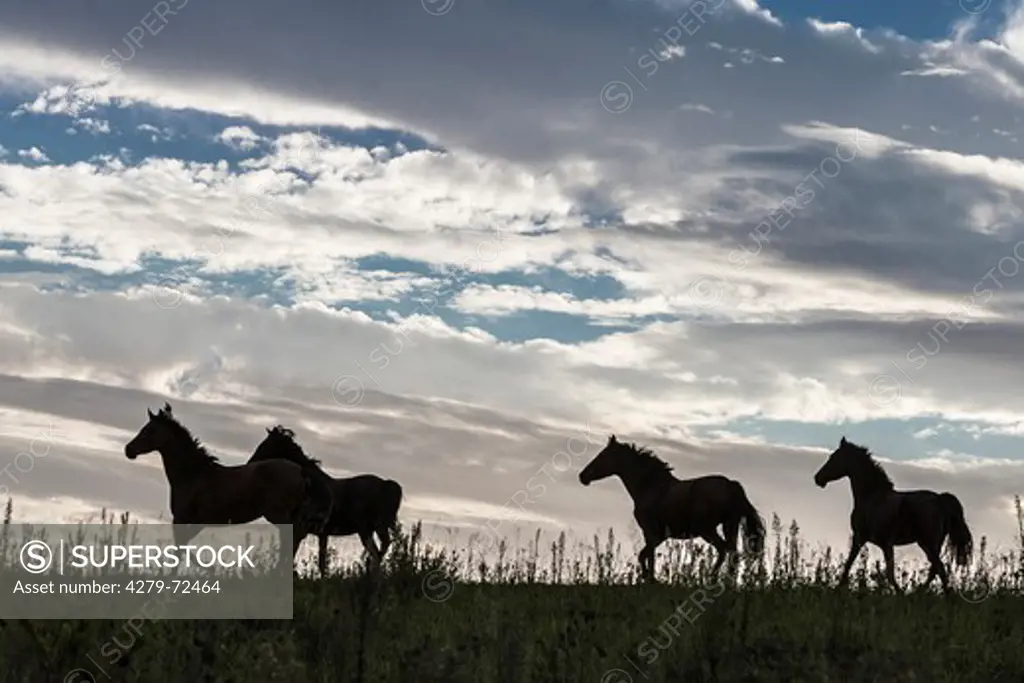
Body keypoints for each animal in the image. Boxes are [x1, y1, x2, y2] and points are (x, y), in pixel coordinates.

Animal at [122, 405, 333, 565]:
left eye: (150, 430)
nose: (128, 450)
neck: (192, 474)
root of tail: (301, 472)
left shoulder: (180, 519)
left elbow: (179, 549)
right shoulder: (197, 522)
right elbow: (184, 547)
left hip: (278, 514)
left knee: (292, 537)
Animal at [247, 423, 403, 573]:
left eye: (266, 444)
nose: (250, 463)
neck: (310, 483)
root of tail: (385, 483)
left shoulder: (297, 529)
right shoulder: (322, 534)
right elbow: (321, 563)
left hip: (366, 530)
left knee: (376, 554)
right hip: (376, 528)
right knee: (381, 550)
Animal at [581, 438, 765, 581]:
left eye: (602, 456)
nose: (582, 476)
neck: (651, 487)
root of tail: (730, 484)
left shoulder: (650, 532)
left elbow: (646, 557)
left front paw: (651, 579)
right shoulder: (660, 536)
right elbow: (645, 555)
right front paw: (649, 578)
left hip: (707, 529)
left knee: (723, 550)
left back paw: (711, 578)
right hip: (729, 526)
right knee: (733, 554)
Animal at [811, 438, 970, 593]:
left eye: (833, 457)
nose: (817, 478)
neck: (872, 497)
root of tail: (940, 500)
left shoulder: (864, 539)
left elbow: (853, 566)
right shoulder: (883, 544)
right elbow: (887, 572)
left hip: (928, 543)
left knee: (940, 569)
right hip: (934, 544)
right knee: (935, 570)